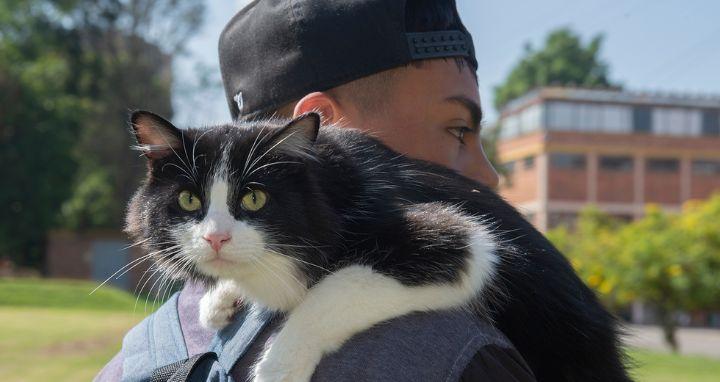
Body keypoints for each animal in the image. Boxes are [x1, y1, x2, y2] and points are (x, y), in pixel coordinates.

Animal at [125, 109, 632, 380]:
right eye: (189, 200)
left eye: (253, 198)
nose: (216, 237)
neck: (330, 189)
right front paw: (221, 297)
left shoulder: (460, 239)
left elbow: (333, 289)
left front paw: (278, 366)